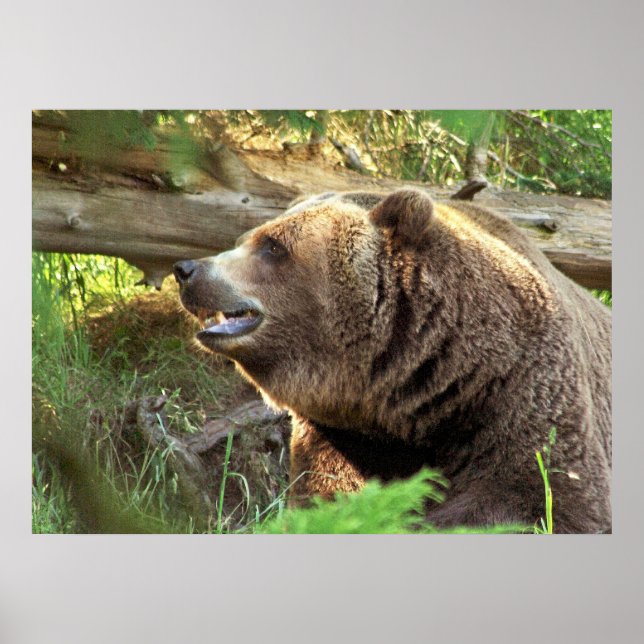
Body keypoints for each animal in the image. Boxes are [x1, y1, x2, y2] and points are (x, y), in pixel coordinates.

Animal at [174, 189, 612, 533]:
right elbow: (326, 494)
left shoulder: (523, 391)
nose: (187, 269)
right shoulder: (345, 435)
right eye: (245, 237)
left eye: (273, 246)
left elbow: (543, 498)